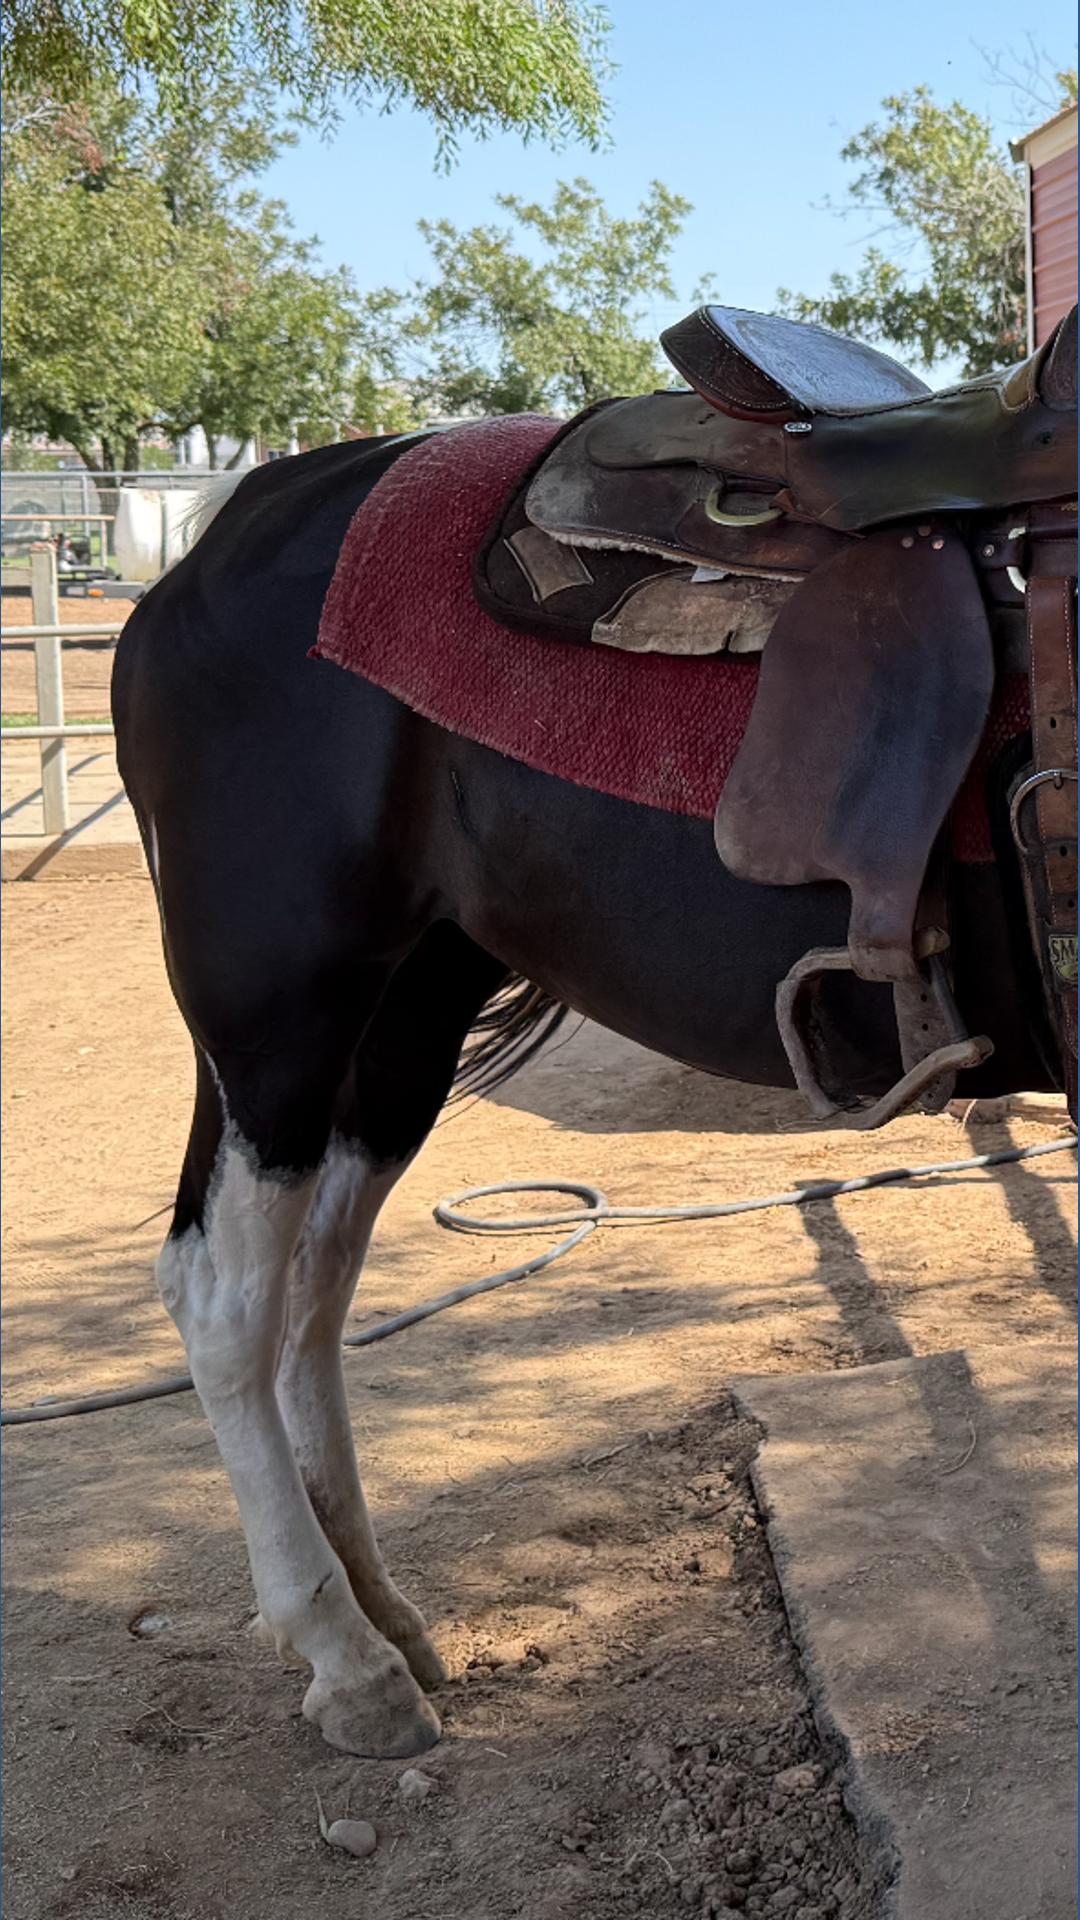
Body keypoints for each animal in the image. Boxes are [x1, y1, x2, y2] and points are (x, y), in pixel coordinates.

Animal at [111, 421, 1066, 1760]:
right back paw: (345, 1658)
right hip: (277, 1015)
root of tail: (237, 523)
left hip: (404, 1015)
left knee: (313, 1291)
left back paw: (380, 1608)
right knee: (224, 1301)